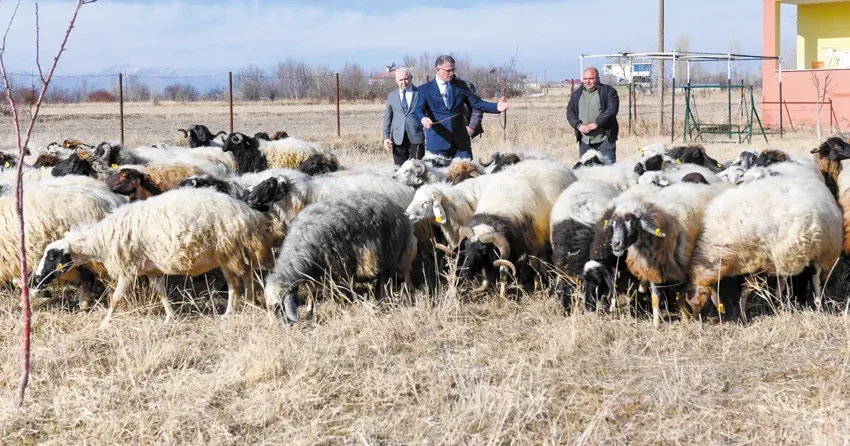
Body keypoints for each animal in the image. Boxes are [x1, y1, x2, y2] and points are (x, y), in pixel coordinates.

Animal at [33, 186, 284, 326]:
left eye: (52, 256)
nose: (35, 279)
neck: (102, 239)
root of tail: (251, 215)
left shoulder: (127, 270)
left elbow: (115, 299)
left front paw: (104, 324)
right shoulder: (151, 269)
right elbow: (162, 294)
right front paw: (170, 317)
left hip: (228, 250)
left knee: (241, 281)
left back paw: (241, 307)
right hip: (229, 253)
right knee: (241, 279)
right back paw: (241, 307)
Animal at [262, 192, 414, 324]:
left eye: (277, 306)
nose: (275, 327)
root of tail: (397, 208)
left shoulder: (339, 269)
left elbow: (341, 294)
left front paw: (343, 309)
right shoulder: (315, 272)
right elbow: (312, 294)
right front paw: (310, 313)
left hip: (393, 254)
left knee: (391, 278)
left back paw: (390, 300)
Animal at [688, 174, 840, 318]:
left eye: (703, 303)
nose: (696, 320)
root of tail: (821, 190)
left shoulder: (753, 261)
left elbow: (745, 291)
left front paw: (744, 316)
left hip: (822, 251)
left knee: (815, 278)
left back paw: (818, 304)